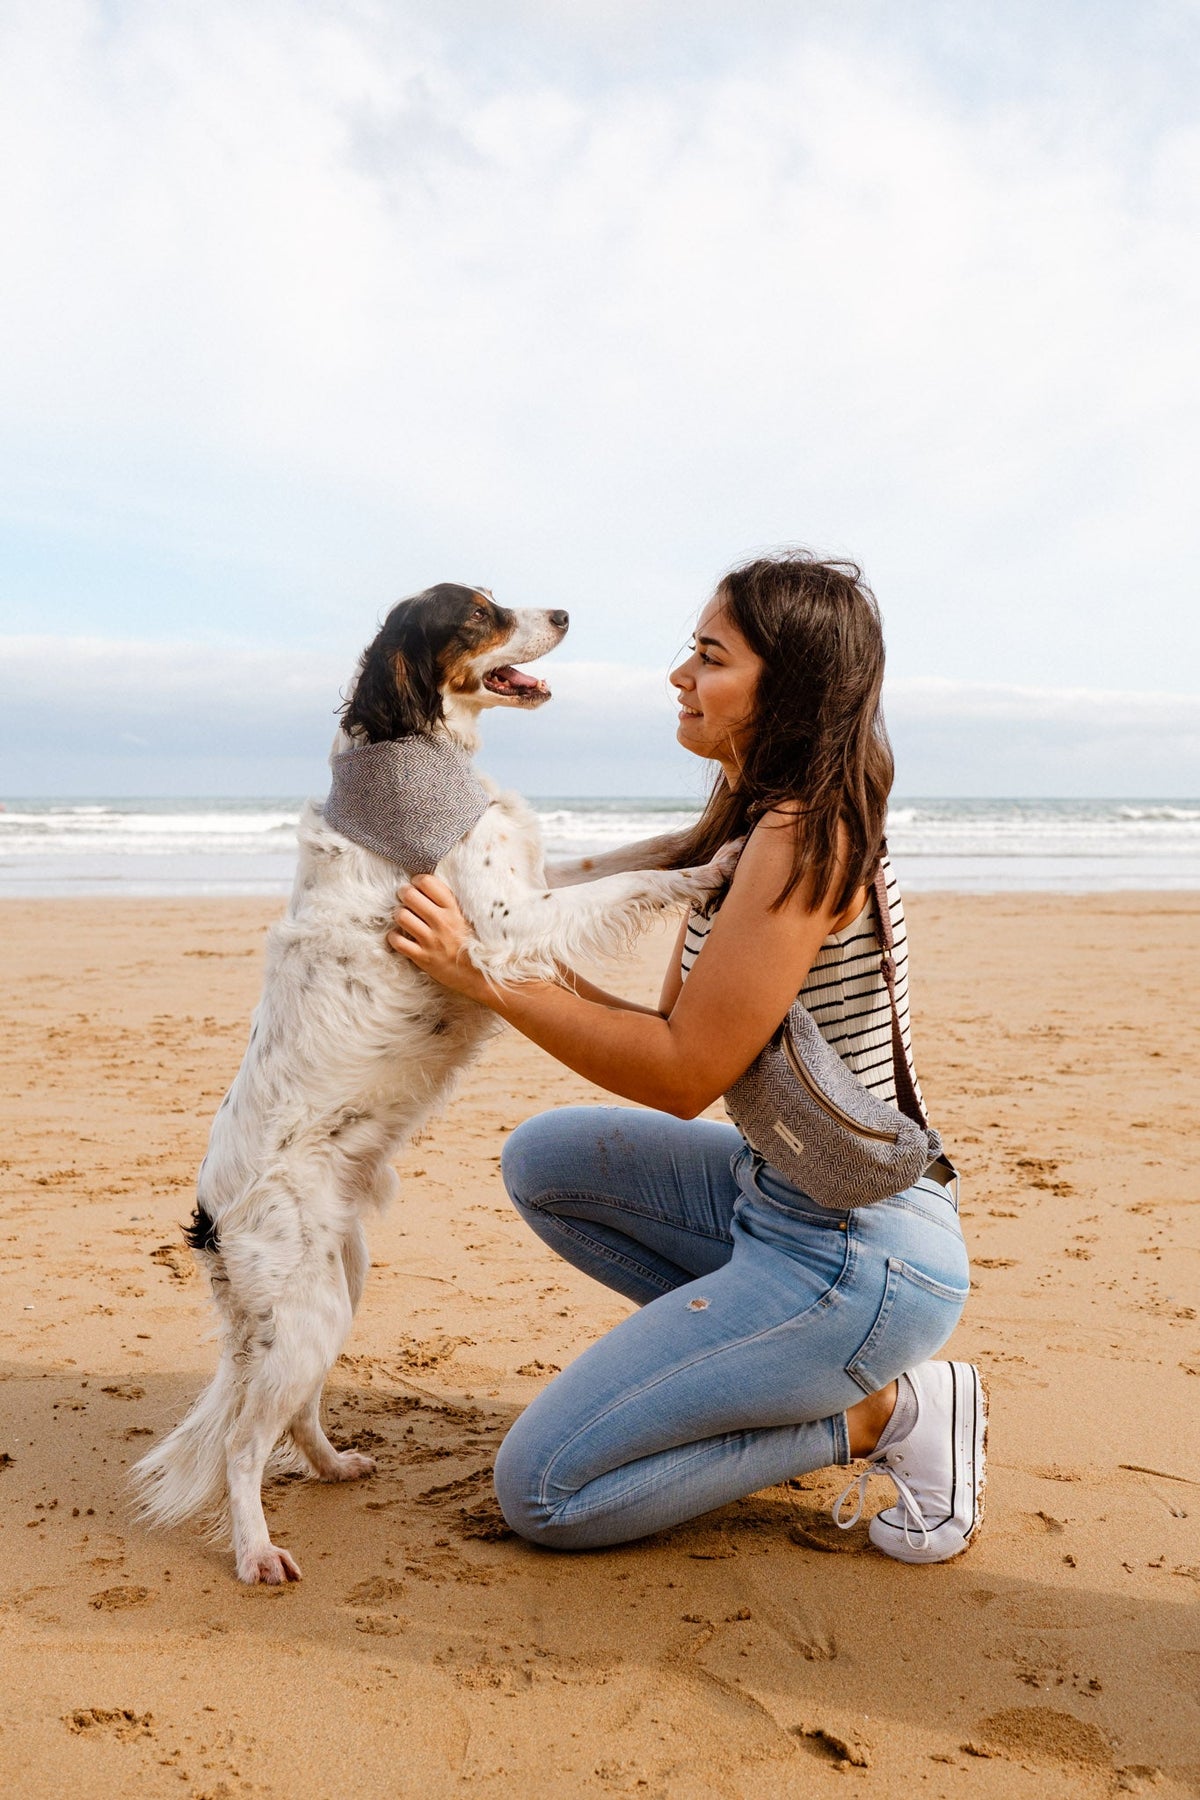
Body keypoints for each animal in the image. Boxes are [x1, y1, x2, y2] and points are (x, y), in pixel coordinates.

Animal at [131, 583, 734, 1584]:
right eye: (481, 614)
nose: (564, 614)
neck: (415, 748)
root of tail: (210, 1222)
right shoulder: (502, 922)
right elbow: (634, 882)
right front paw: (710, 866)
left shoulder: (531, 885)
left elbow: (628, 854)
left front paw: (703, 834)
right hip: (300, 1313)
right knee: (245, 1445)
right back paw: (257, 1550)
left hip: (336, 1291)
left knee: (292, 1414)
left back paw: (334, 1464)